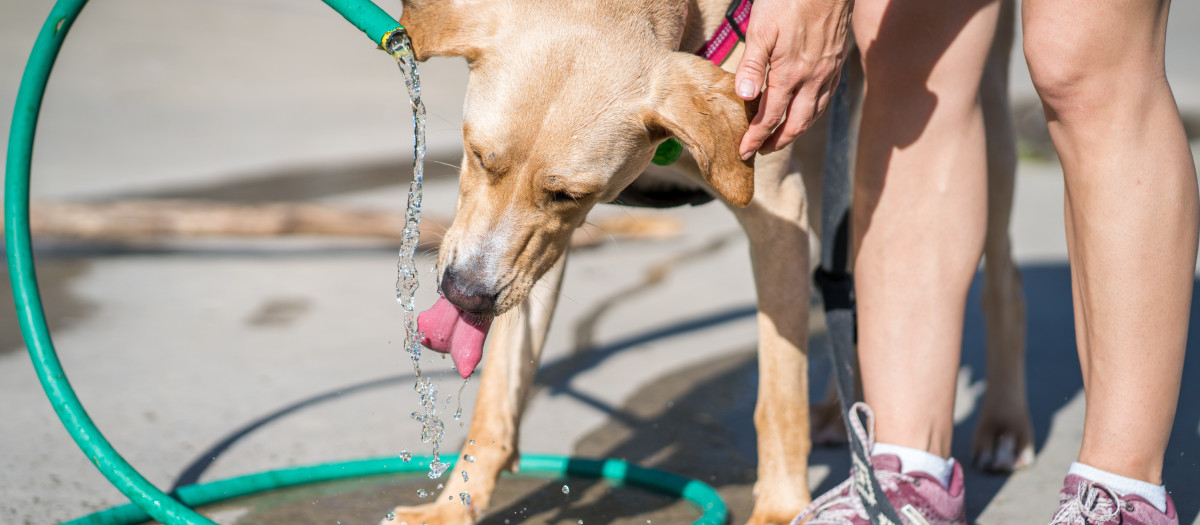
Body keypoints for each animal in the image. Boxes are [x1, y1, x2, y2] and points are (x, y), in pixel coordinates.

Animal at [386, 2, 1032, 522]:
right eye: (477, 155)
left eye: (569, 194)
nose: (464, 294)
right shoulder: (530, 258)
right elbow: (498, 396)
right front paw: (454, 506)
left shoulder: (778, 213)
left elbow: (778, 400)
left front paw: (780, 510)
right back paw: (842, 416)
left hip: (972, 117)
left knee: (1002, 274)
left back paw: (1004, 425)